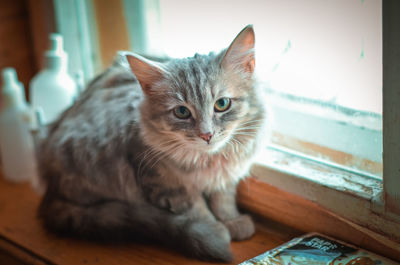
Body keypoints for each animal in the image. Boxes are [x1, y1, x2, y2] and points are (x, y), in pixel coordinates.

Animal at [37, 25, 268, 262]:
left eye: (222, 104)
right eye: (182, 112)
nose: (206, 135)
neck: (207, 161)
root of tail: (50, 189)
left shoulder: (226, 176)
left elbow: (223, 200)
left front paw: (232, 221)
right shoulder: (165, 184)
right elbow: (197, 209)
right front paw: (215, 230)